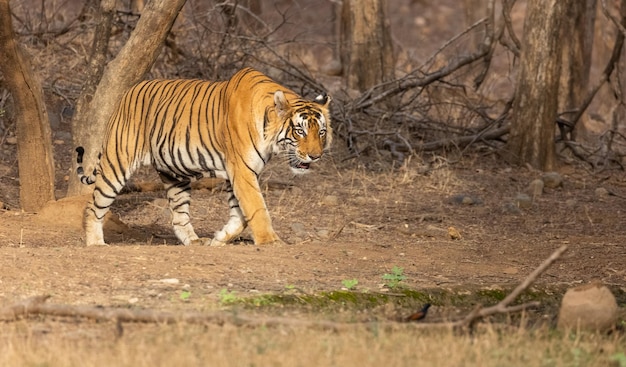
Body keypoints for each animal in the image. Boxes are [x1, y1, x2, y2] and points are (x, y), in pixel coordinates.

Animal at [75, 68, 332, 249]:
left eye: (321, 132)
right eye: (299, 131)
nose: (315, 156)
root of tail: (128, 92)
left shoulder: (238, 174)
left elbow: (241, 216)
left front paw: (219, 239)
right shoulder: (242, 170)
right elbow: (257, 208)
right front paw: (271, 242)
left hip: (174, 174)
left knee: (178, 217)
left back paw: (195, 241)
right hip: (117, 162)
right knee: (93, 205)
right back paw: (96, 243)